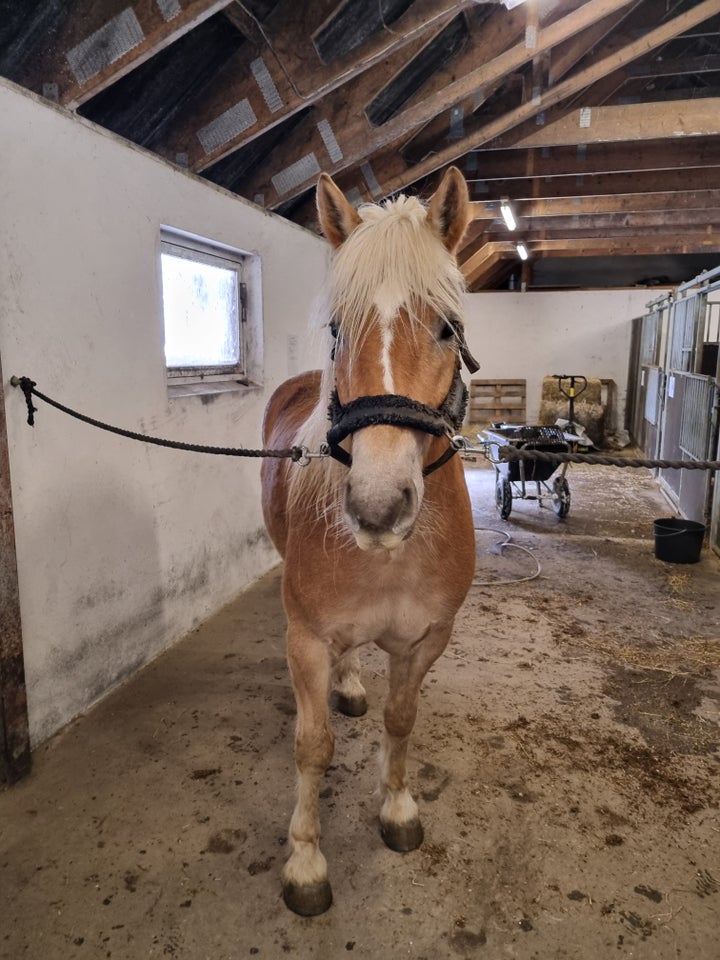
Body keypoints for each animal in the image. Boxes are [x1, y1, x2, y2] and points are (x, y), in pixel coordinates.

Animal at [258, 167, 478, 916]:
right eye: (336, 329)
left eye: (446, 328)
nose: (377, 506)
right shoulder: (303, 638)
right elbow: (311, 744)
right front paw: (304, 861)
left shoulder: (425, 640)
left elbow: (402, 719)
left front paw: (398, 809)